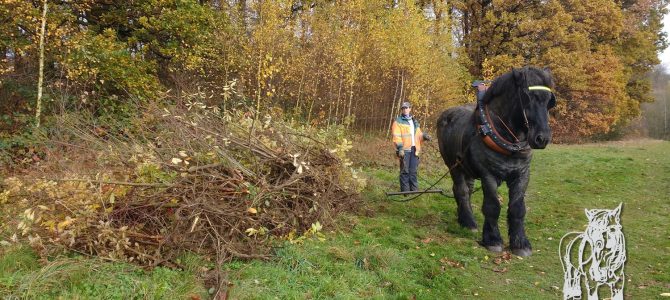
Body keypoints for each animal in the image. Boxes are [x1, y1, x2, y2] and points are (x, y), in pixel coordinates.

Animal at [436, 67, 556, 256]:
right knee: (461, 190)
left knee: (466, 191)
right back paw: (469, 222)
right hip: (453, 166)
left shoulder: (522, 175)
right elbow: (492, 206)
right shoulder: (488, 175)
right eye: (527, 96)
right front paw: (492, 239)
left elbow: (518, 208)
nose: (542, 138)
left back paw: (464, 217)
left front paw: (520, 243)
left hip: (467, 169)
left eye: (549, 101)